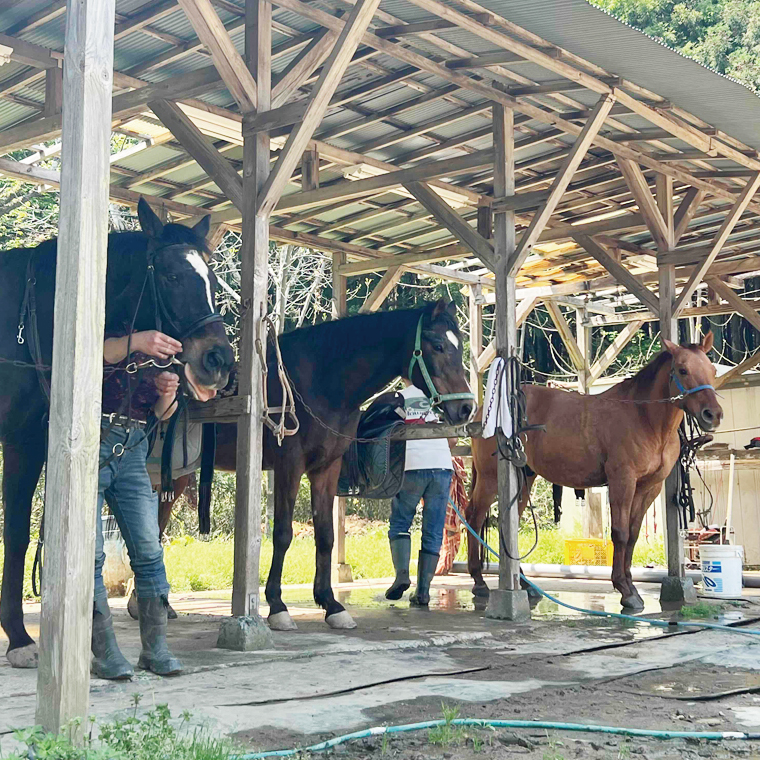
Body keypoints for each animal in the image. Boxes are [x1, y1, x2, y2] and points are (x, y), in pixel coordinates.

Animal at [0, 198, 234, 668]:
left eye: (212, 280)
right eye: (171, 276)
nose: (218, 360)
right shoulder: (20, 442)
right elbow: (15, 534)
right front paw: (18, 639)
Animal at [466, 333, 722, 609]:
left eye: (712, 370)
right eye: (683, 370)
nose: (713, 415)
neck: (643, 417)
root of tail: (486, 409)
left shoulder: (649, 487)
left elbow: (632, 535)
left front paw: (631, 585)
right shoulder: (622, 481)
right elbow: (620, 533)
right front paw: (625, 590)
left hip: (523, 479)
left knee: (507, 525)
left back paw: (524, 584)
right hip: (491, 478)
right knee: (474, 517)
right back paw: (479, 582)